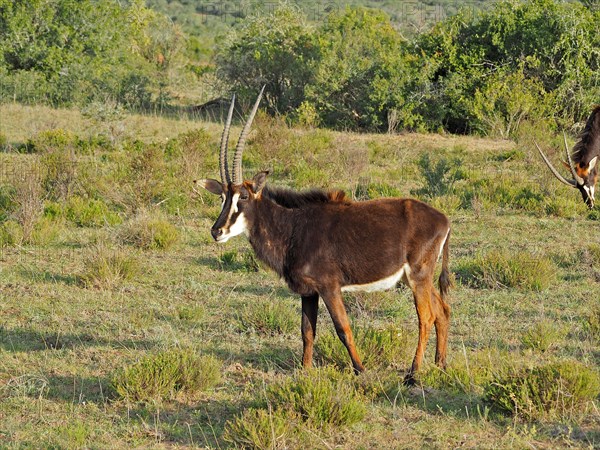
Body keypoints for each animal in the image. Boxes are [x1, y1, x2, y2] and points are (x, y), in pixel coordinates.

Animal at [195, 89, 452, 384]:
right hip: (419, 278)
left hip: (418, 276)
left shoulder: (329, 287)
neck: (292, 227)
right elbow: (307, 331)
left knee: (426, 317)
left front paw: (360, 369)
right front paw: (305, 372)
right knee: (442, 310)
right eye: (223, 198)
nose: (217, 231)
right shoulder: (308, 292)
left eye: (244, 197)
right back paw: (441, 365)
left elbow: (343, 328)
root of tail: (443, 219)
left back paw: (413, 374)